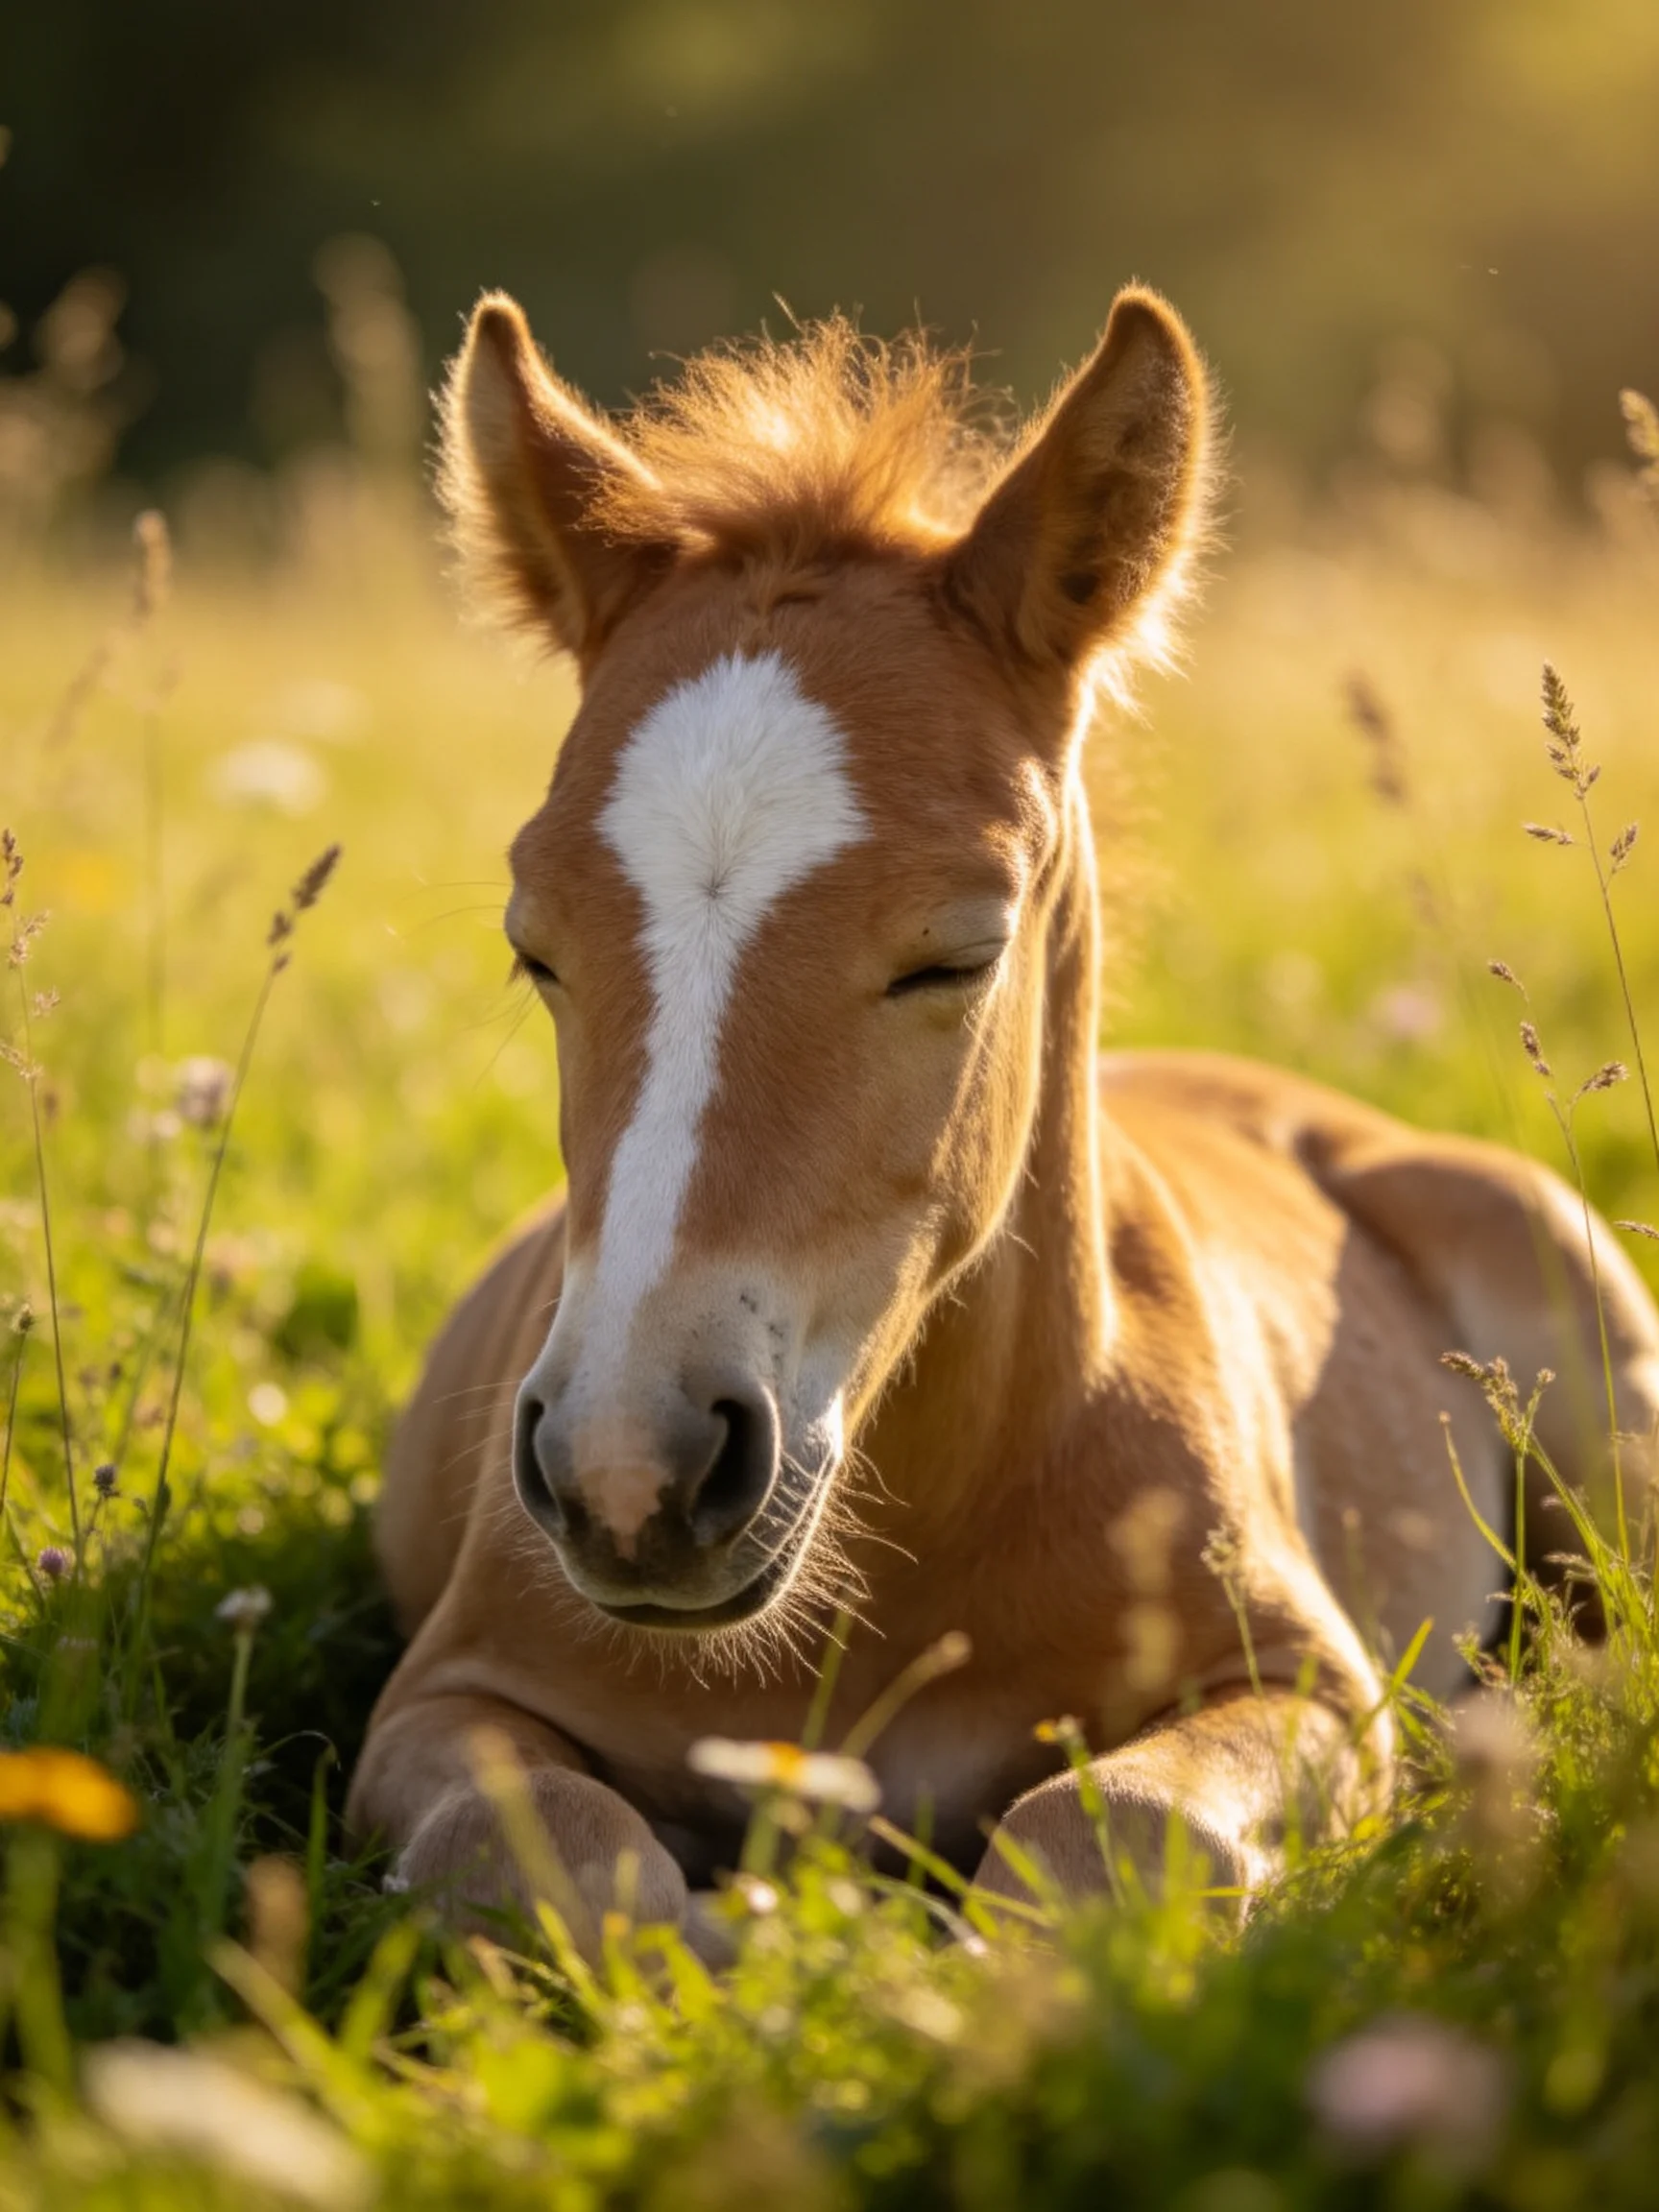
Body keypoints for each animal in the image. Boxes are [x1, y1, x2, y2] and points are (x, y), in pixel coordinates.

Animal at [346, 284, 1659, 1944]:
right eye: (536, 946)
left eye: (953, 953)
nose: (630, 1479)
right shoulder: (441, 1702)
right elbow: (554, 1857)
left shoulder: (1310, 1690)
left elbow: (1108, 1838)